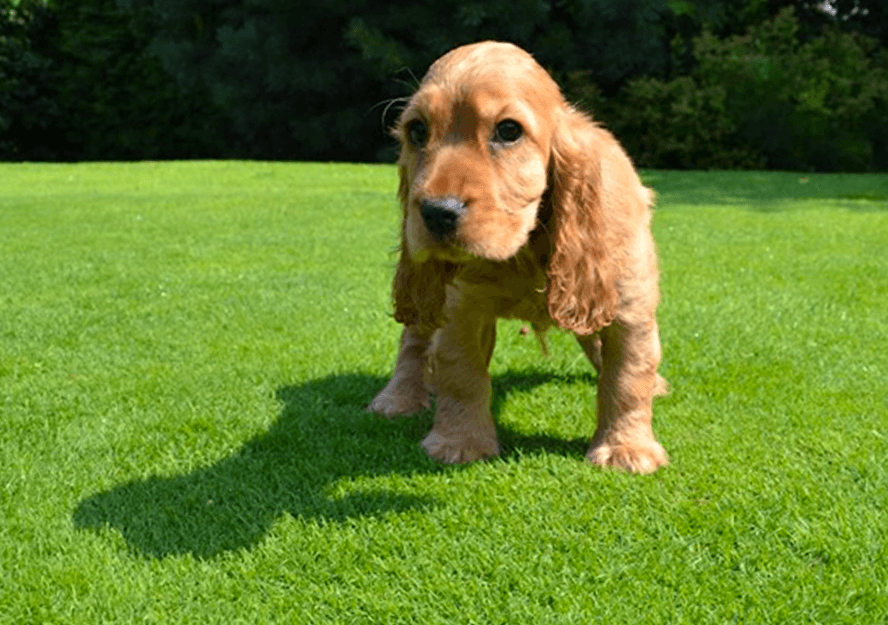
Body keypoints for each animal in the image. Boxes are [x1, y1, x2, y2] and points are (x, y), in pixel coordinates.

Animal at [366, 41, 664, 472]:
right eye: (417, 130)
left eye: (509, 131)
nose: (437, 212)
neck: (523, 247)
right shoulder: (461, 306)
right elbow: (461, 373)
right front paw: (460, 442)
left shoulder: (628, 303)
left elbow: (627, 376)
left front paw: (625, 449)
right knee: (414, 338)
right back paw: (398, 397)